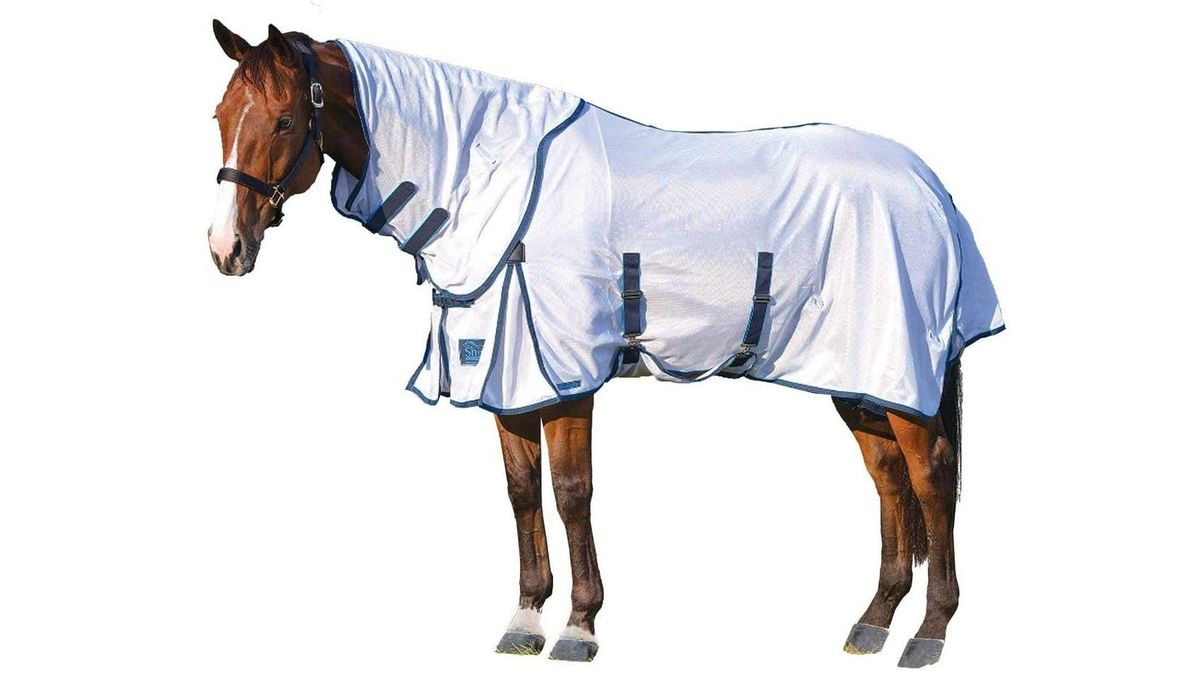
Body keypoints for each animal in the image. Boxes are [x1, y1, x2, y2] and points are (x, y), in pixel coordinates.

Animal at [206, 21, 1003, 668]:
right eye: (219, 116)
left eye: (284, 119)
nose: (225, 249)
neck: (489, 182)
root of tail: (930, 187)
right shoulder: (507, 375)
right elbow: (521, 491)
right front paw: (525, 618)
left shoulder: (565, 372)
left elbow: (570, 491)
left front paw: (579, 628)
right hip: (860, 375)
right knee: (889, 477)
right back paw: (873, 622)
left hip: (898, 364)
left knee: (931, 475)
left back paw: (929, 632)